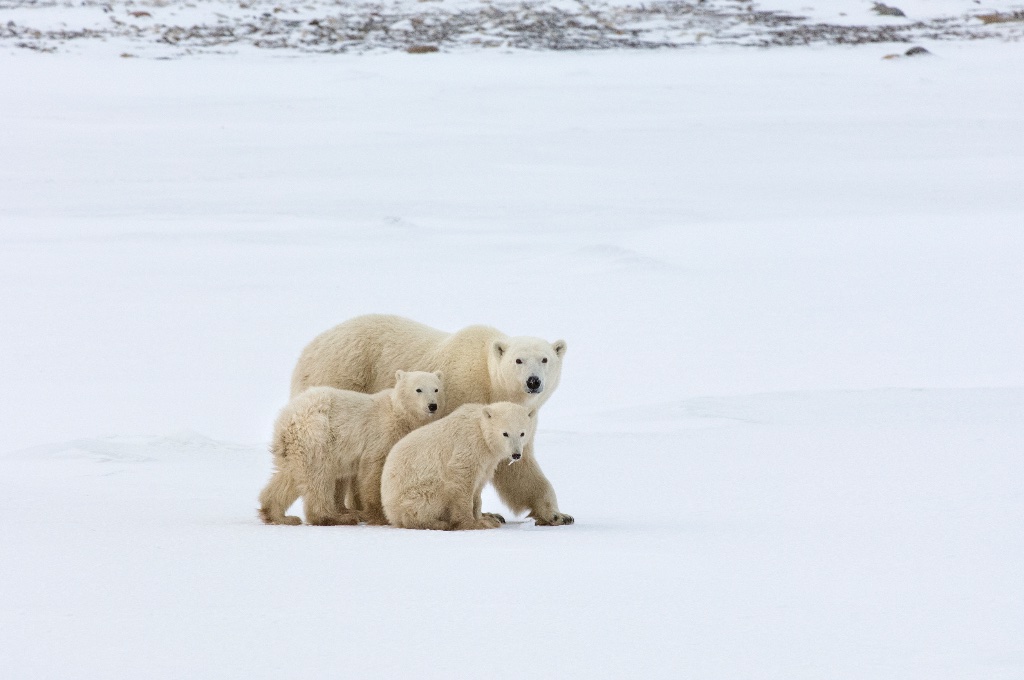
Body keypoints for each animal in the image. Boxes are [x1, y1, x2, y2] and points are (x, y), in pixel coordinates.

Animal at [258, 370, 444, 526]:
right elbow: (373, 471)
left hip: (295, 446)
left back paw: (279, 516)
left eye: (436, 389)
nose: (432, 406)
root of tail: (286, 419)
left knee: (287, 477)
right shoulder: (380, 434)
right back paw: (336, 517)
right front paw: (379, 515)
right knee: (318, 477)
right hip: (317, 436)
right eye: (418, 389)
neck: (399, 414)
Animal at [381, 402, 534, 531]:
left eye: (522, 433)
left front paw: (484, 518)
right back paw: (439, 523)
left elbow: (478, 487)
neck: (480, 431)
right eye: (505, 433)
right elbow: (461, 481)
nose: (516, 454)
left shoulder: (487, 462)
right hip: (419, 492)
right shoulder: (468, 446)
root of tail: (389, 511)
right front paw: (474, 523)